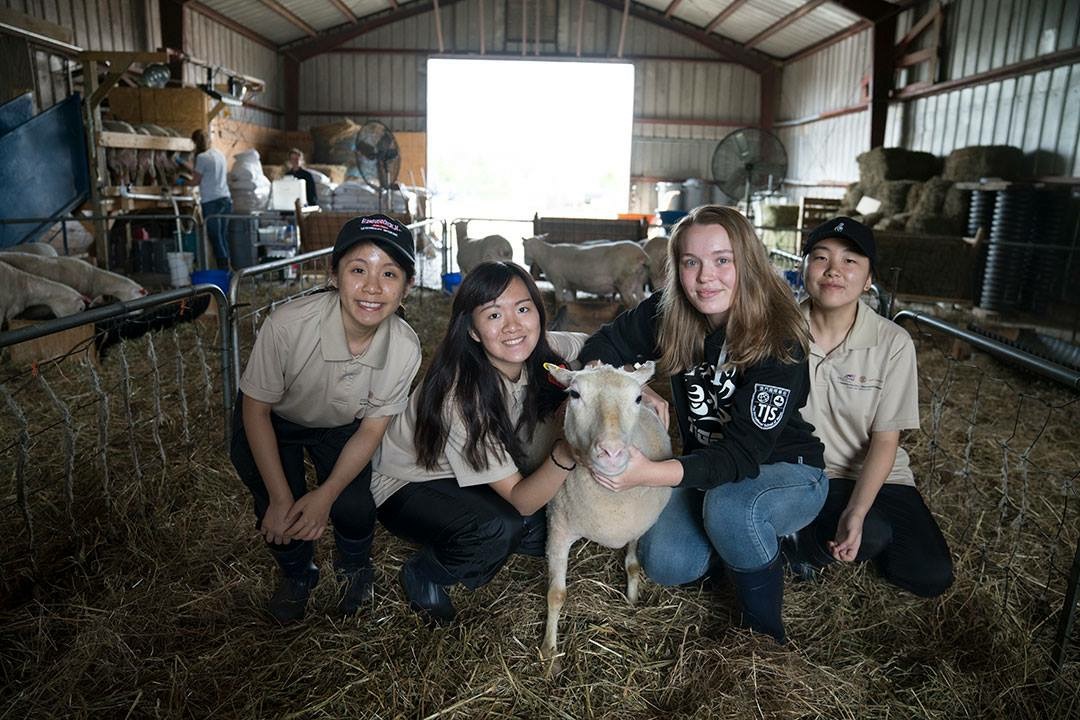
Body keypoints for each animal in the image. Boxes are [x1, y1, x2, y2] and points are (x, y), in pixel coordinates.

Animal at [540, 362, 673, 660]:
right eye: (574, 394)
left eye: (638, 398)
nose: (611, 452)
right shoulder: (558, 528)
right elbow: (556, 594)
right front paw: (549, 653)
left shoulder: (636, 526)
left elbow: (633, 565)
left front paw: (632, 600)